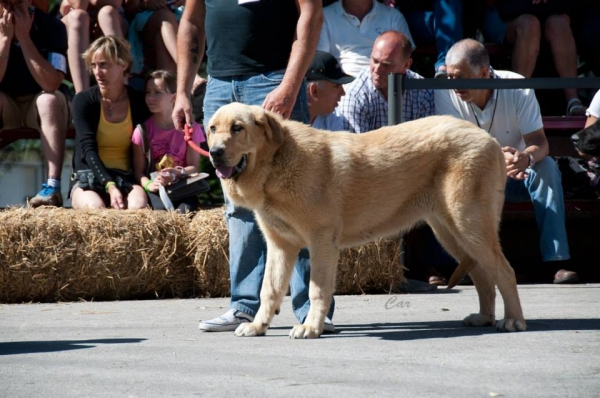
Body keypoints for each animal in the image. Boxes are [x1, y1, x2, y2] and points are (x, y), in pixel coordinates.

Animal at [206, 102, 524, 338]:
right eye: (212, 129)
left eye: (238, 128)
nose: (214, 152)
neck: (276, 163)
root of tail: (489, 139)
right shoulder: (280, 245)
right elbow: (269, 290)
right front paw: (257, 326)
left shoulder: (322, 242)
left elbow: (317, 289)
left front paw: (311, 327)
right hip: (450, 233)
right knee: (483, 273)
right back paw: (484, 317)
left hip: (469, 224)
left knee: (504, 270)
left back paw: (513, 321)